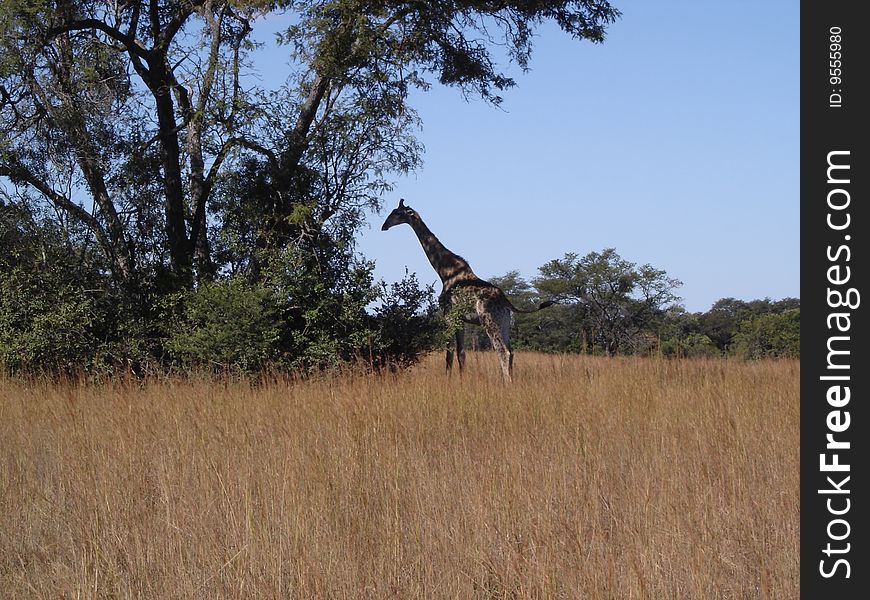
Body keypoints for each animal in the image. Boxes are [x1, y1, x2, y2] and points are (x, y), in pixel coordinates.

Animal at [380, 199, 552, 382]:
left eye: (397, 213)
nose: (384, 226)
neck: (444, 271)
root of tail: (506, 301)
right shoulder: (460, 319)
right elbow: (461, 354)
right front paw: (462, 382)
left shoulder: (448, 314)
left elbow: (449, 353)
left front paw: (448, 381)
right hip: (504, 321)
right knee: (511, 352)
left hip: (488, 320)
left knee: (503, 351)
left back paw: (507, 384)